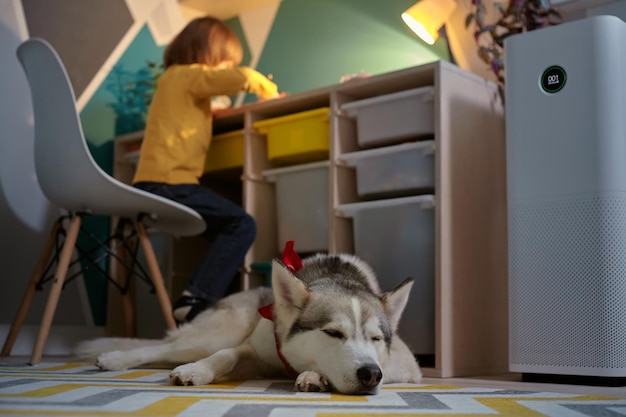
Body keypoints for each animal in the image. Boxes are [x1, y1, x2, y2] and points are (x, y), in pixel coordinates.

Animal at [75, 254, 422, 394]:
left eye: (377, 339)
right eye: (333, 333)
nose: (370, 375)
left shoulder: (406, 364)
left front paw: (315, 375)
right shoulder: (255, 349)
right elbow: (227, 354)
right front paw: (198, 371)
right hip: (217, 332)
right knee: (165, 348)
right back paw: (115, 358)